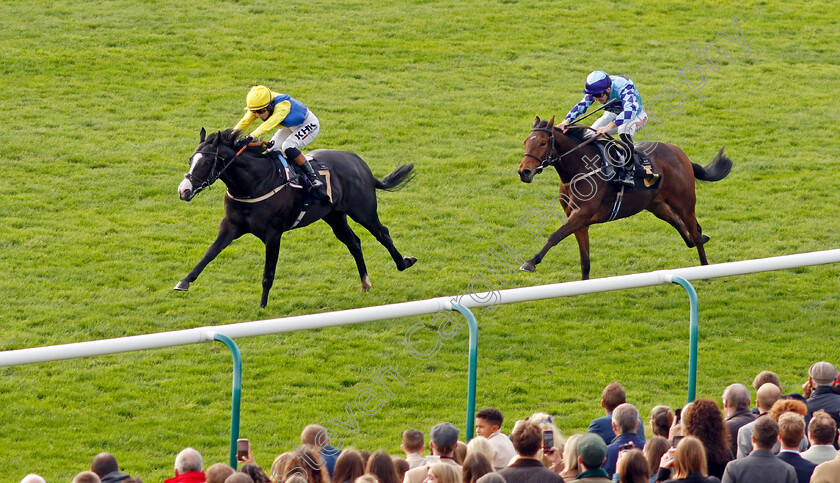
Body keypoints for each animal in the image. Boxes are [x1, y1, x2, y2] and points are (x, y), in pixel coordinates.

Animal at [176, 130, 416, 308]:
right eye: (190, 160)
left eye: (206, 163)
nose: (183, 191)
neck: (254, 182)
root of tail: (358, 162)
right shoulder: (231, 226)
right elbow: (209, 253)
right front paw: (183, 282)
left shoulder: (273, 234)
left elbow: (268, 272)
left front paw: (262, 307)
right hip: (334, 216)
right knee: (354, 242)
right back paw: (365, 283)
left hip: (363, 210)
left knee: (382, 233)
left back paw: (404, 262)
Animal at [516, 115, 732, 278]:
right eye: (526, 142)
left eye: (543, 143)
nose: (524, 172)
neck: (580, 170)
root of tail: (681, 154)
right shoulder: (579, 221)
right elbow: (585, 260)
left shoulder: (582, 214)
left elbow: (555, 236)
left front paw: (530, 262)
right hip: (656, 204)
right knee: (681, 225)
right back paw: (701, 240)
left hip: (684, 203)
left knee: (694, 232)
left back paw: (705, 270)